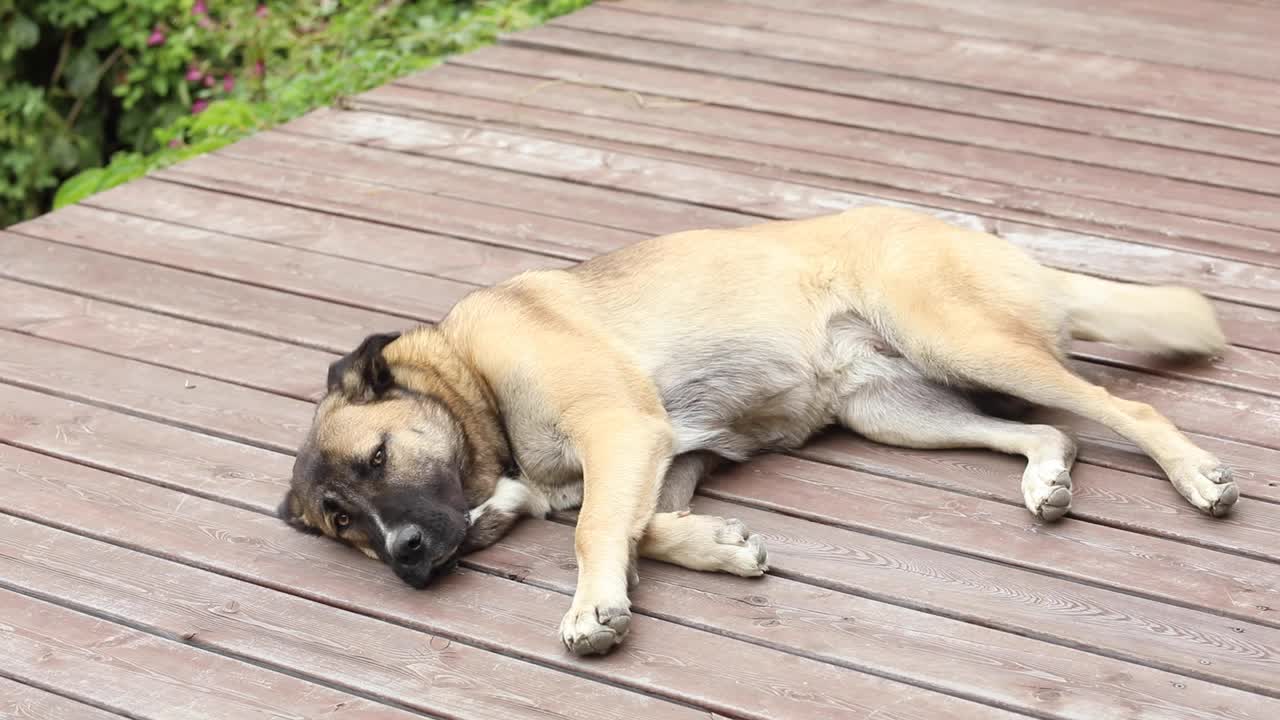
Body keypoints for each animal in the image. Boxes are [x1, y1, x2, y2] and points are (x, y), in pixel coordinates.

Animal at [282, 204, 1239, 653]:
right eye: (342, 524)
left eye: (379, 457)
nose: (406, 557)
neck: (469, 379)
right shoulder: (669, 455)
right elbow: (641, 526)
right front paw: (719, 545)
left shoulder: (624, 430)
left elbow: (594, 530)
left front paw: (593, 605)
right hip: (895, 413)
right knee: (1051, 434)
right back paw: (1047, 478)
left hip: (958, 338)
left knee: (1122, 408)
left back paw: (1196, 476)